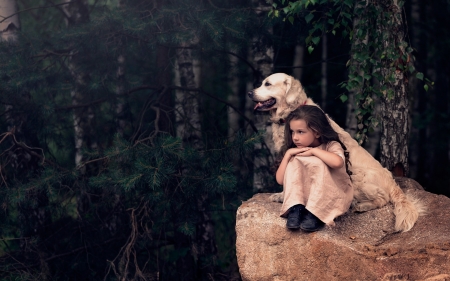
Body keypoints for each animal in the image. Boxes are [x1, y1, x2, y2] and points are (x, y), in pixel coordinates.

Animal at [248, 72, 424, 232]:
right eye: (262, 83)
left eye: (268, 84)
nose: (250, 93)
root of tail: (393, 183)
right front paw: (283, 195)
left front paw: (284, 196)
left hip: (357, 175)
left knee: (383, 198)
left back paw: (361, 205)